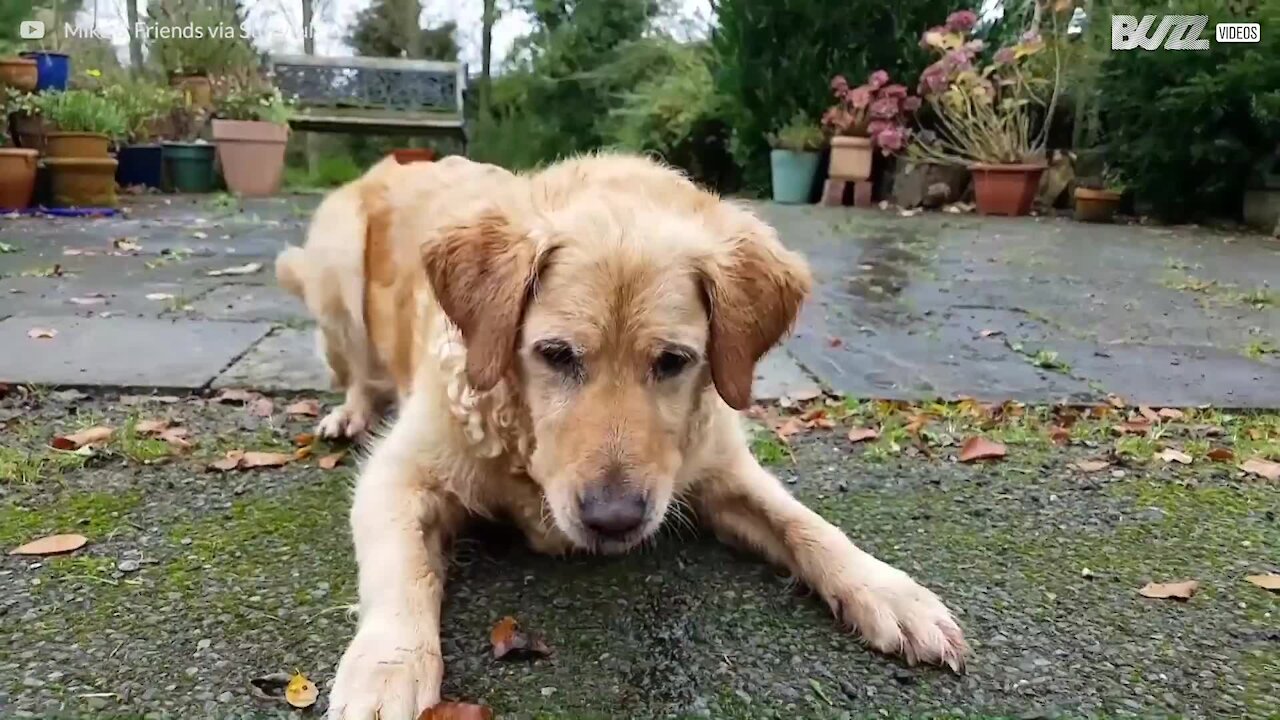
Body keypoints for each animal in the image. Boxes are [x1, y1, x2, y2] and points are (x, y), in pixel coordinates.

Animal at [325, 154, 962, 712]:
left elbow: (806, 525)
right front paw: (388, 666)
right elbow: (402, 569)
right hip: (334, 265)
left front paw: (890, 591)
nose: (614, 520)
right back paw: (347, 415)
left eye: (673, 361)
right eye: (556, 355)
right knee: (354, 372)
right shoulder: (397, 475)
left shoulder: (721, 470)